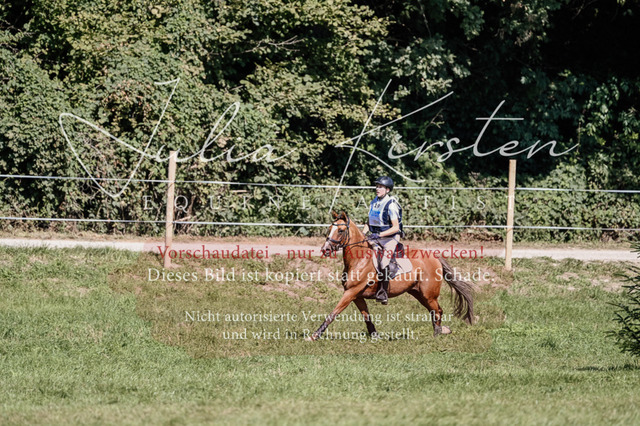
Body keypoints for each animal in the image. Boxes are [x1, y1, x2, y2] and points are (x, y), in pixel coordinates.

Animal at [305, 211, 474, 341]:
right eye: (329, 229)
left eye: (340, 231)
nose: (325, 249)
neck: (359, 260)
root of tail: (434, 256)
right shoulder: (357, 295)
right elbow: (366, 316)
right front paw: (375, 336)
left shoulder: (351, 292)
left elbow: (333, 313)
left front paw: (314, 336)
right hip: (418, 293)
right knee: (436, 311)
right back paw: (441, 331)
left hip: (428, 295)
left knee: (437, 311)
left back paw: (437, 334)